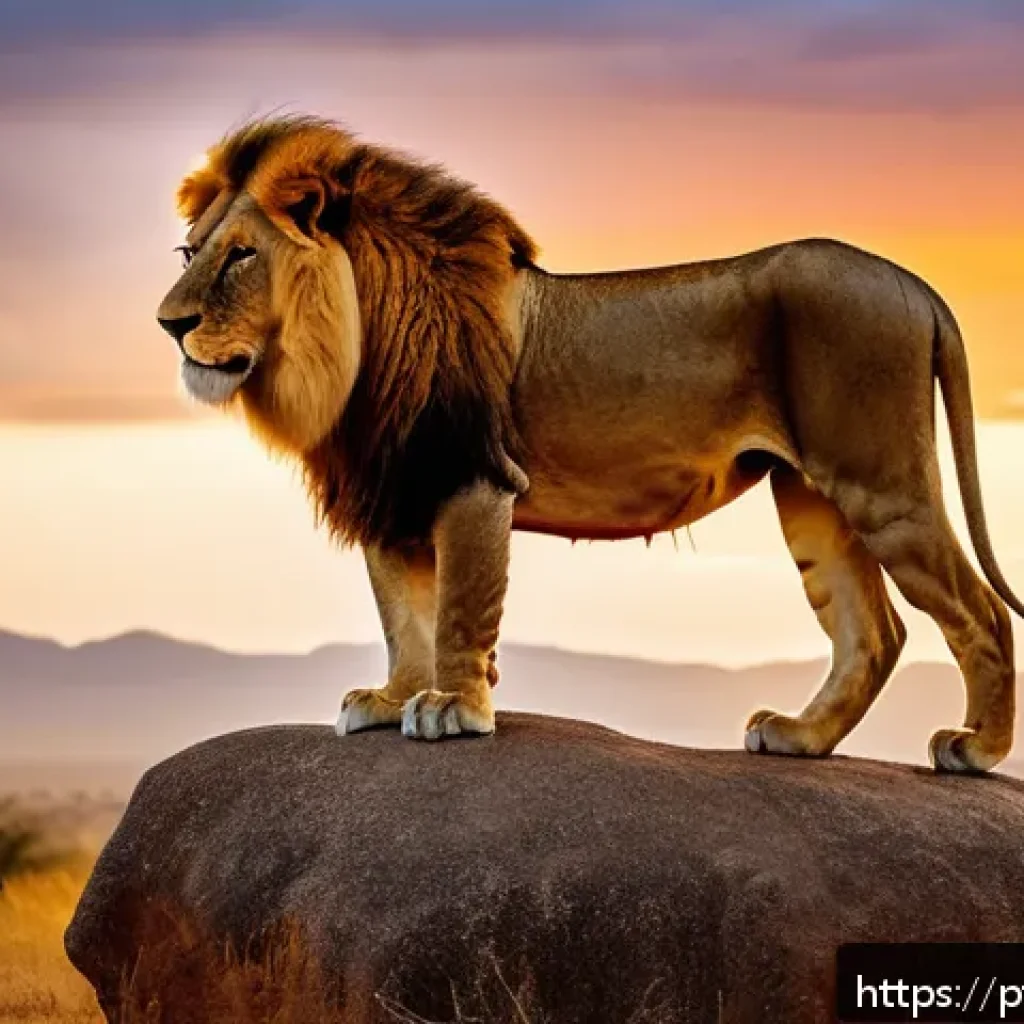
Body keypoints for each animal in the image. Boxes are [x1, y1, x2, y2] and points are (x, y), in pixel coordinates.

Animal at [157, 115, 1021, 772]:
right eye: (190, 252)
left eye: (242, 254)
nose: (170, 323)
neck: (351, 345)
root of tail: (914, 285)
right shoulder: (395, 490)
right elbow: (404, 615)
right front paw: (392, 698)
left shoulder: (473, 480)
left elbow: (460, 608)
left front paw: (450, 708)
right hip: (809, 494)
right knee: (871, 632)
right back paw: (799, 737)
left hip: (883, 481)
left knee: (981, 613)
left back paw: (975, 750)